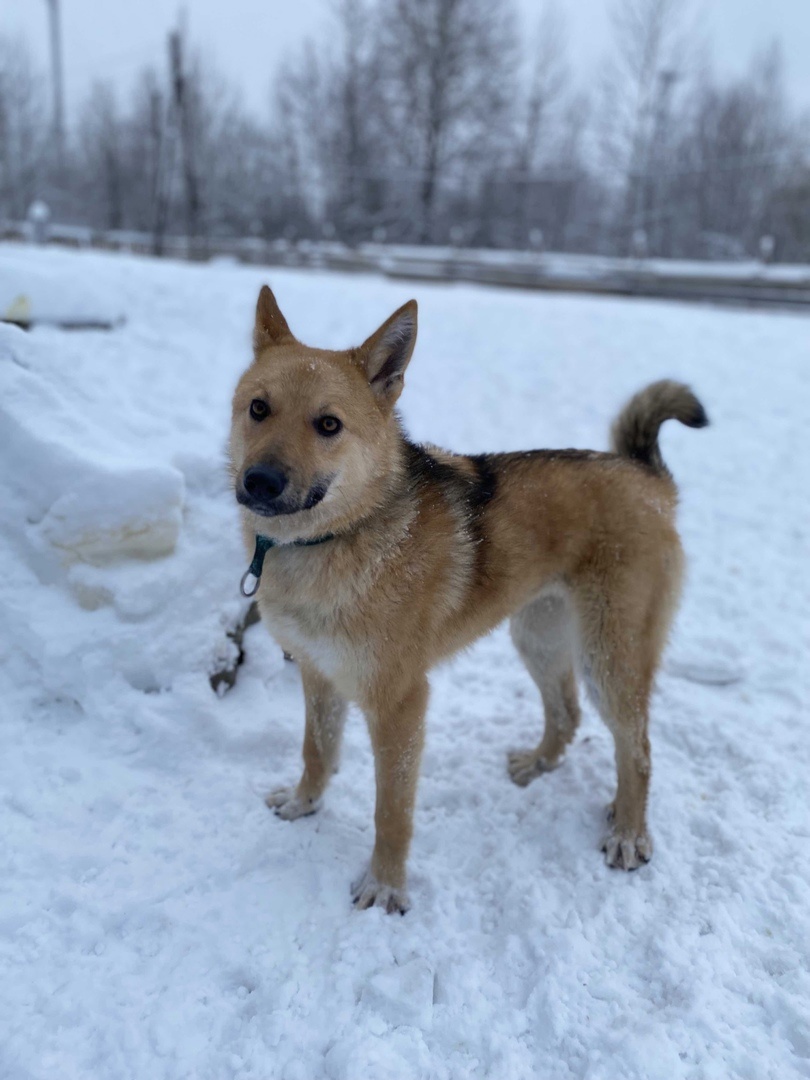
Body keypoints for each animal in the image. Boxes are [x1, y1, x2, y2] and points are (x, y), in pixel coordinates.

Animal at [230, 285, 708, 911]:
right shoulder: (319, 672)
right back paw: (539, 764)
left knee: (639, 749)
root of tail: (647, 479)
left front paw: (385, 886)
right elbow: (318, 751)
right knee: (567, 711)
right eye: (259, 408)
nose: (259, 481)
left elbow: (391, 811)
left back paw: (629, 830)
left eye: (329, 424)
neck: (335, 538)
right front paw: (304, 804)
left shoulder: (400, 703)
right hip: (537, 634)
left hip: (610, 657)